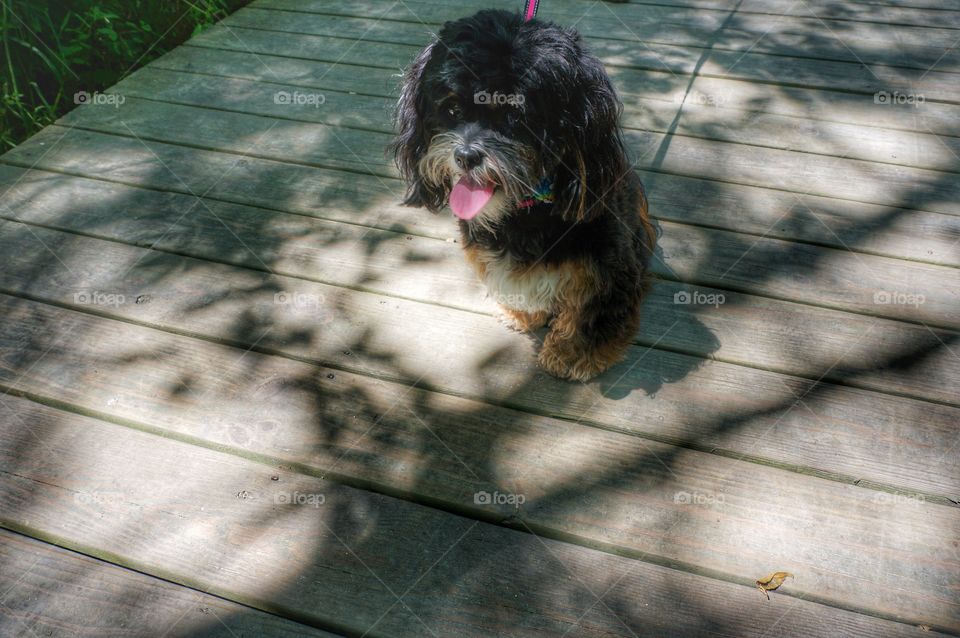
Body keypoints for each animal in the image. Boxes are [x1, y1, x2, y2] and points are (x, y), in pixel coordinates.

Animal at [388, 10, 652, 382]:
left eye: (515, 115)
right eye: (452, 110)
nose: (465, 156)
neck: (526, 209)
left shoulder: (607, 266)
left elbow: (591, 309)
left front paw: (573, 352)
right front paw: (521, 312)